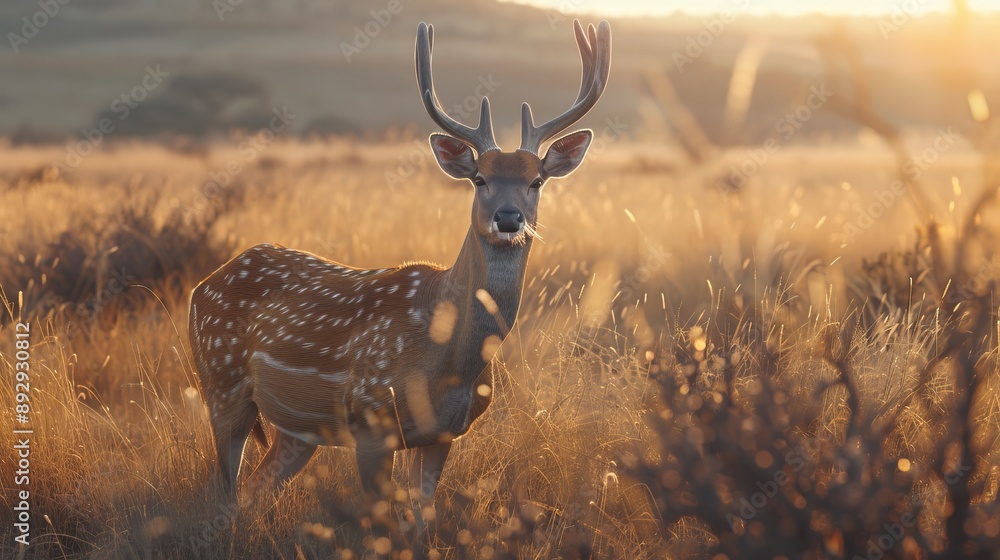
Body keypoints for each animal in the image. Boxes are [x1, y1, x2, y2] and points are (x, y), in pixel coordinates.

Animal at [188, 18, 611, 534]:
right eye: (480, 179)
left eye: (536, 180)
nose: (509, 218)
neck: (446, 361)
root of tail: (201, 287)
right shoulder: (371, 416)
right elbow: (382, 527)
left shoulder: (444, 434)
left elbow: (421, 522)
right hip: (220, 381)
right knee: (224, 492)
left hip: (297, 430)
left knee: (253, 489)